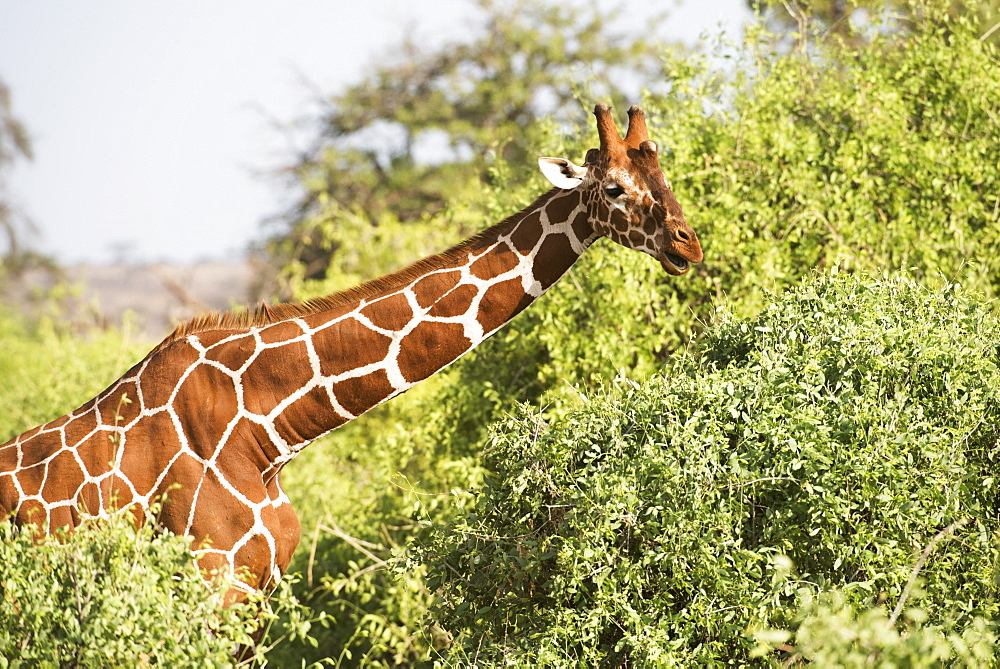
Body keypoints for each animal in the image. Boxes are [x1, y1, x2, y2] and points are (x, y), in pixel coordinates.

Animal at [0, 103, 704, 596]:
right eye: (613, 188)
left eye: (664, 175)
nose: (688, 243)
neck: (266, 429)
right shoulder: (213, 581)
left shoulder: (259, 589)